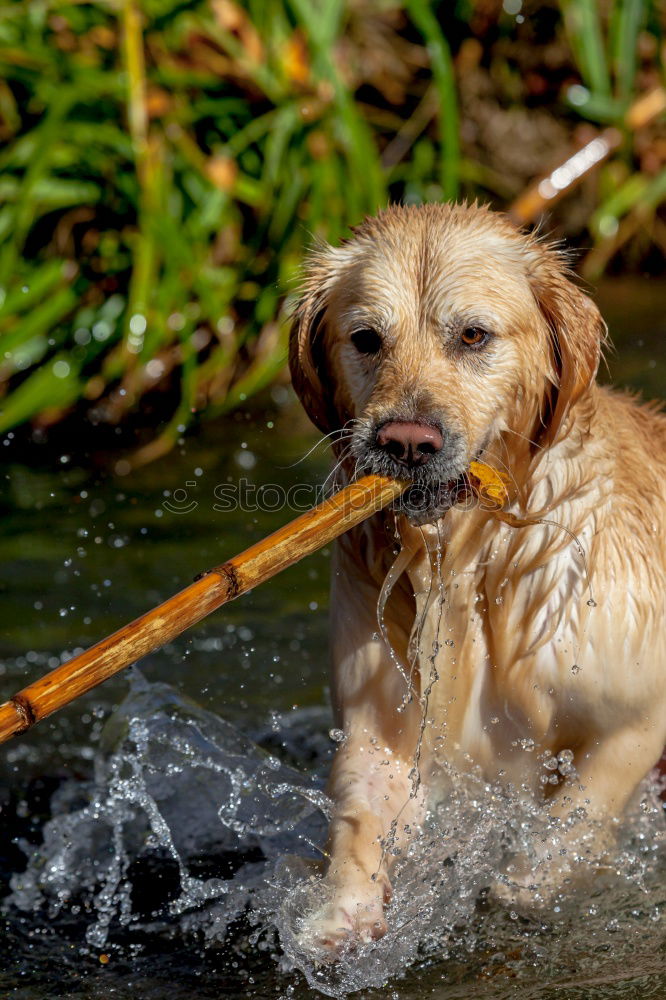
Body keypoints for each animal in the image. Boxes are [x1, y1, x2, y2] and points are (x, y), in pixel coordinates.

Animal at [286, 201, 664, 952]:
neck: (475, 554)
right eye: (366, 338)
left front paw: (529, 877)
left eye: (472, 335)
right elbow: (358, 810)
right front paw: (341, 909)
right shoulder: (382, 725)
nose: (406, 443)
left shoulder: (641, 710)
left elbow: (585, 800)